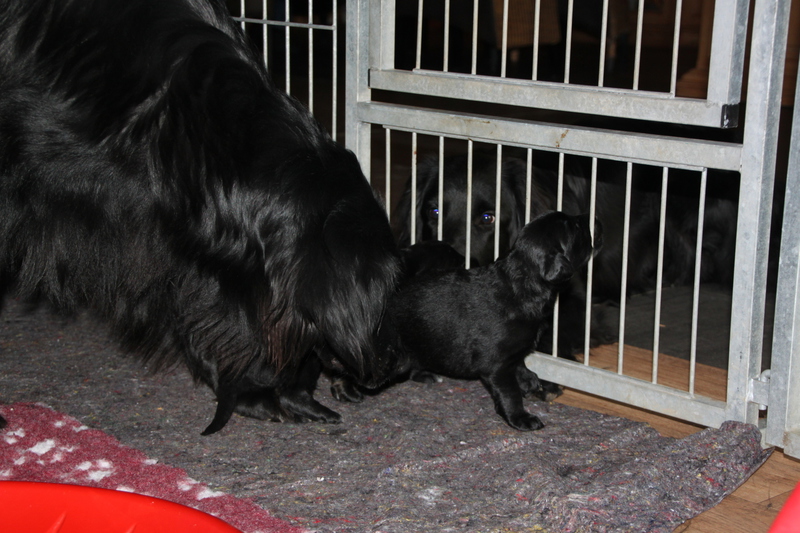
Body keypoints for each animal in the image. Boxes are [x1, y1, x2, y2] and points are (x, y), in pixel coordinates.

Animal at [383, 212, 601, 430]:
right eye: (575, 227)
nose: (594, 218)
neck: (523, 284)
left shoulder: (513, 352)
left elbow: (519, 362)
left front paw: (528, 379)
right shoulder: (496, 365)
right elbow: (510, 393)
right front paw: (521, 417)